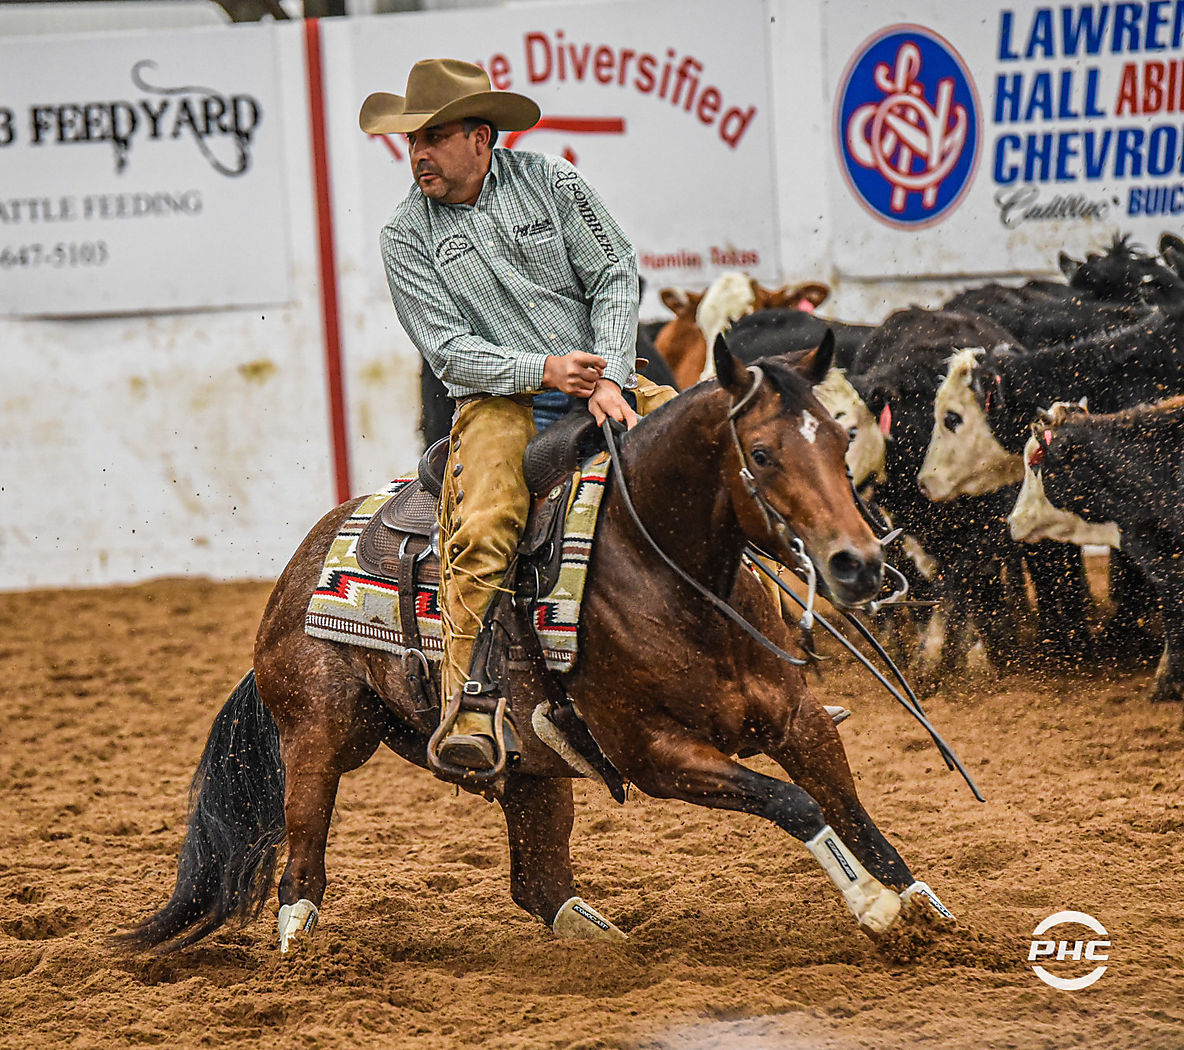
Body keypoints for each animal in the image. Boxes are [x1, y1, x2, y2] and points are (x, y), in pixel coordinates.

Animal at [122, 334, 952, 955]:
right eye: (765, 452)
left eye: (842, 437)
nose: (858, 563)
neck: (668, 577)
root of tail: (300, 568)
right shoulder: (655, 754)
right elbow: (795, 803)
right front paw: (875, 909)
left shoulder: (797, 719)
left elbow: (849, 808)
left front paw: (925, 909)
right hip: (320, 736)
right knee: (301, 871)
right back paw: (306, 953)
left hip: (530, 772)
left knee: (539, 883)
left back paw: (610, 948)